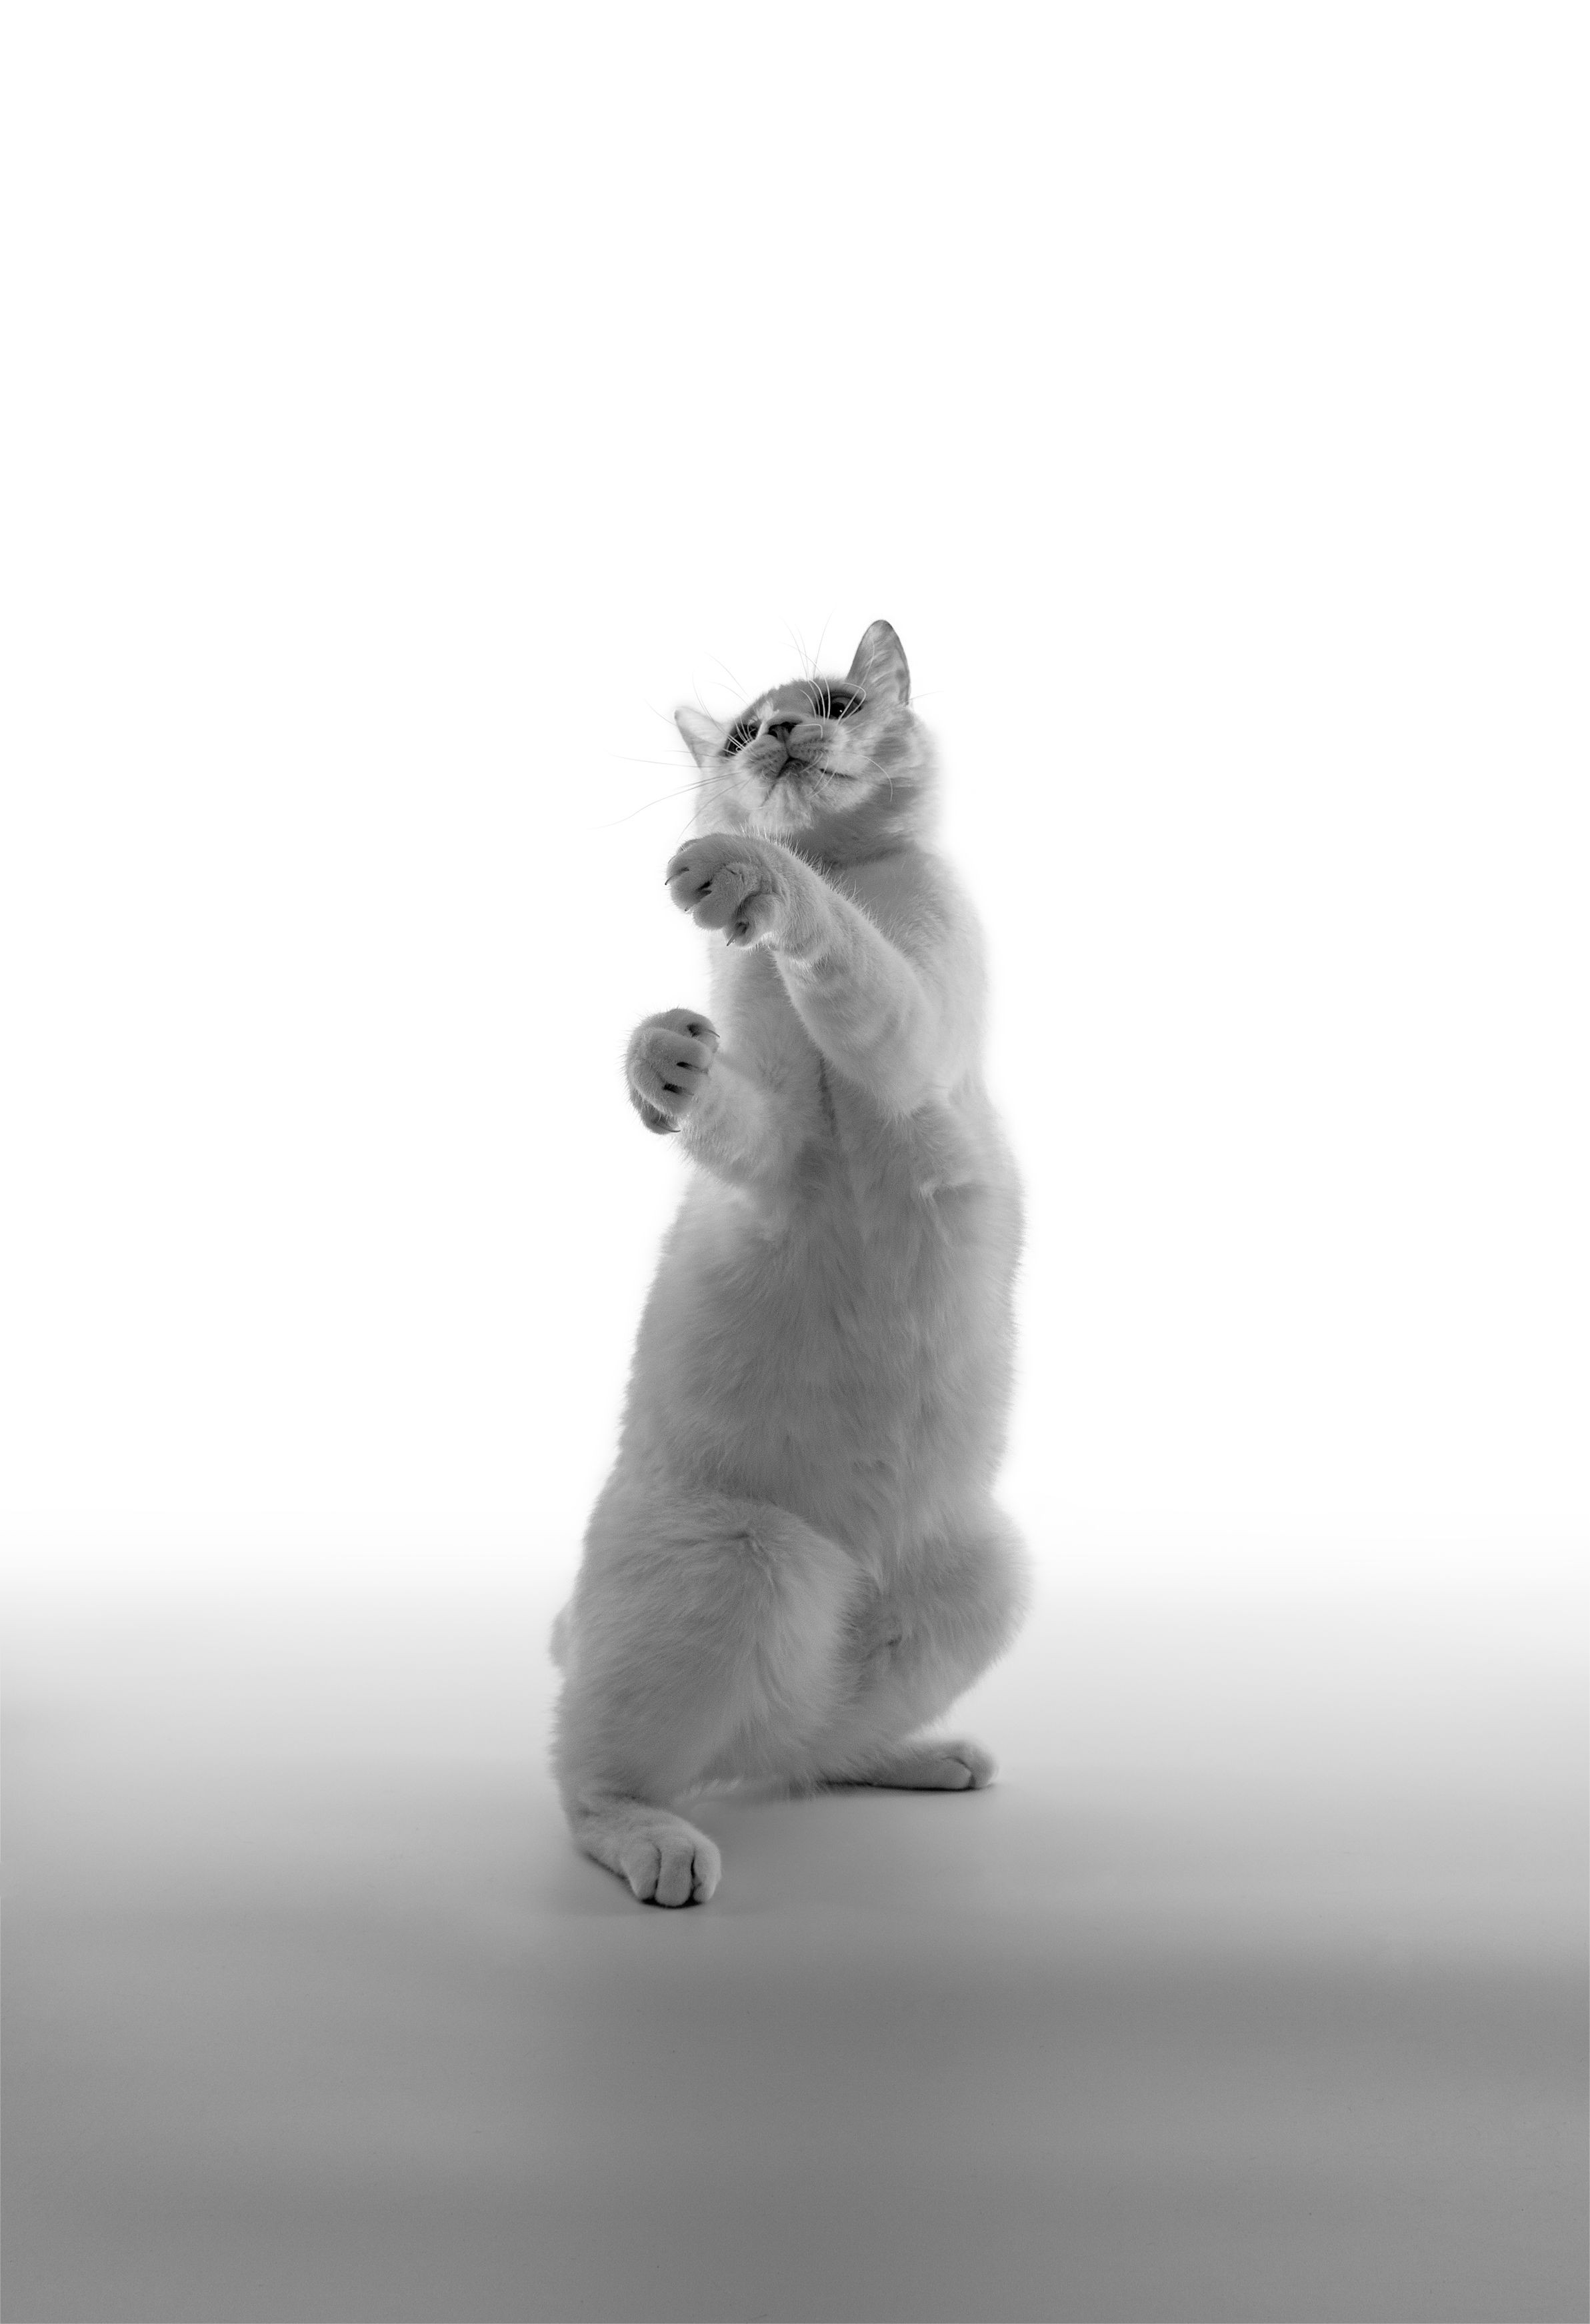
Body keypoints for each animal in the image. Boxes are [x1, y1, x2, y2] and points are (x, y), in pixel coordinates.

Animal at [551, 621, 1028, 1905]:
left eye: (835, 702)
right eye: (735, 735)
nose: (777, 734)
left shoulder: (905, 1052)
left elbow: (847, 954)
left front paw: (756, 878)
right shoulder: (771, 1152)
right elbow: (736, 1101)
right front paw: (662, 1061)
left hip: (985, 1572)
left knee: (805, 1747)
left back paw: (920, 1758)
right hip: (742, 1561)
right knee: (593, 1775)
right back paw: (658, 1843)